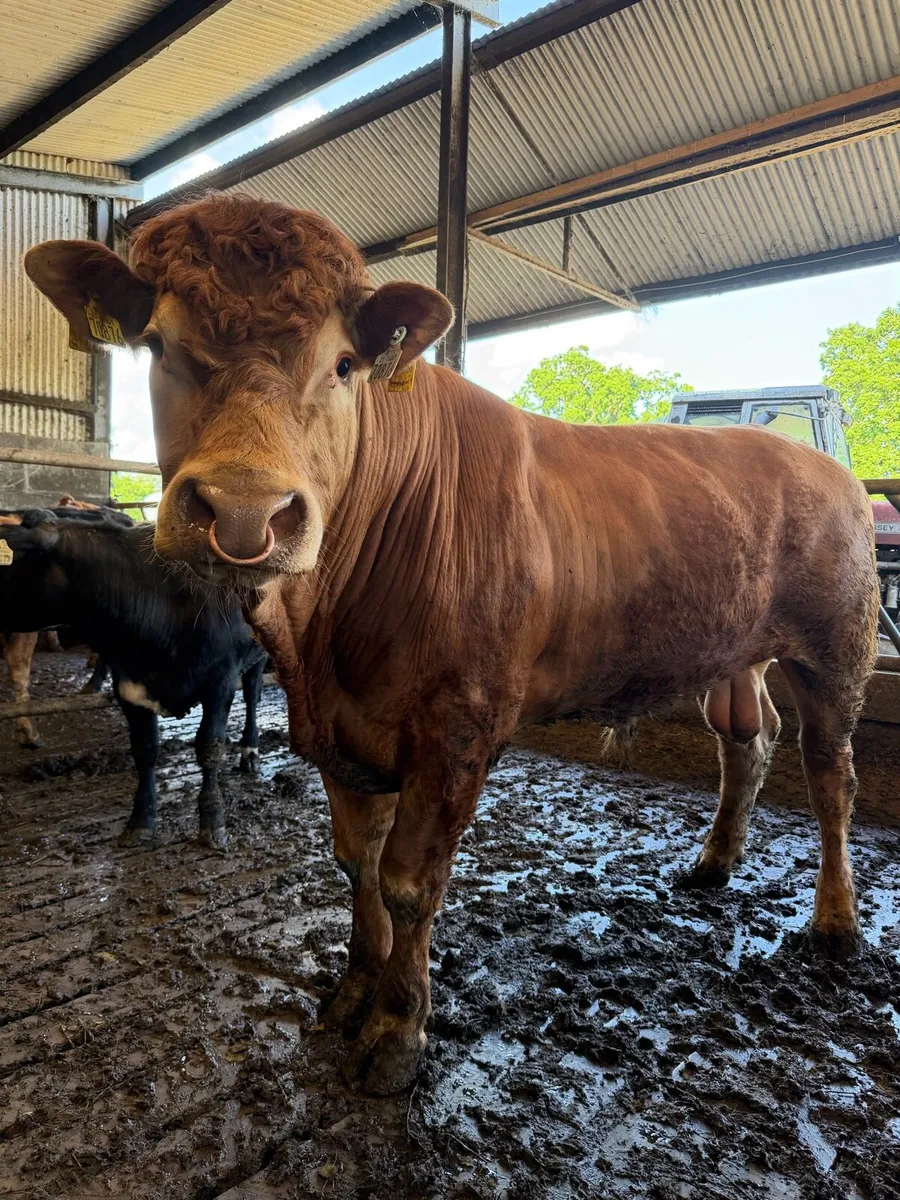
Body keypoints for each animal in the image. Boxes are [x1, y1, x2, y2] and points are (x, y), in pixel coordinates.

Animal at [0, 509, 267, 845]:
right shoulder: (129, 686)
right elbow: (144, 751)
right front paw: (140, 820)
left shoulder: (219, 681)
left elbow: (209, 748)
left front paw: (212, 822)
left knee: (253, 694)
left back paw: (250, 752)